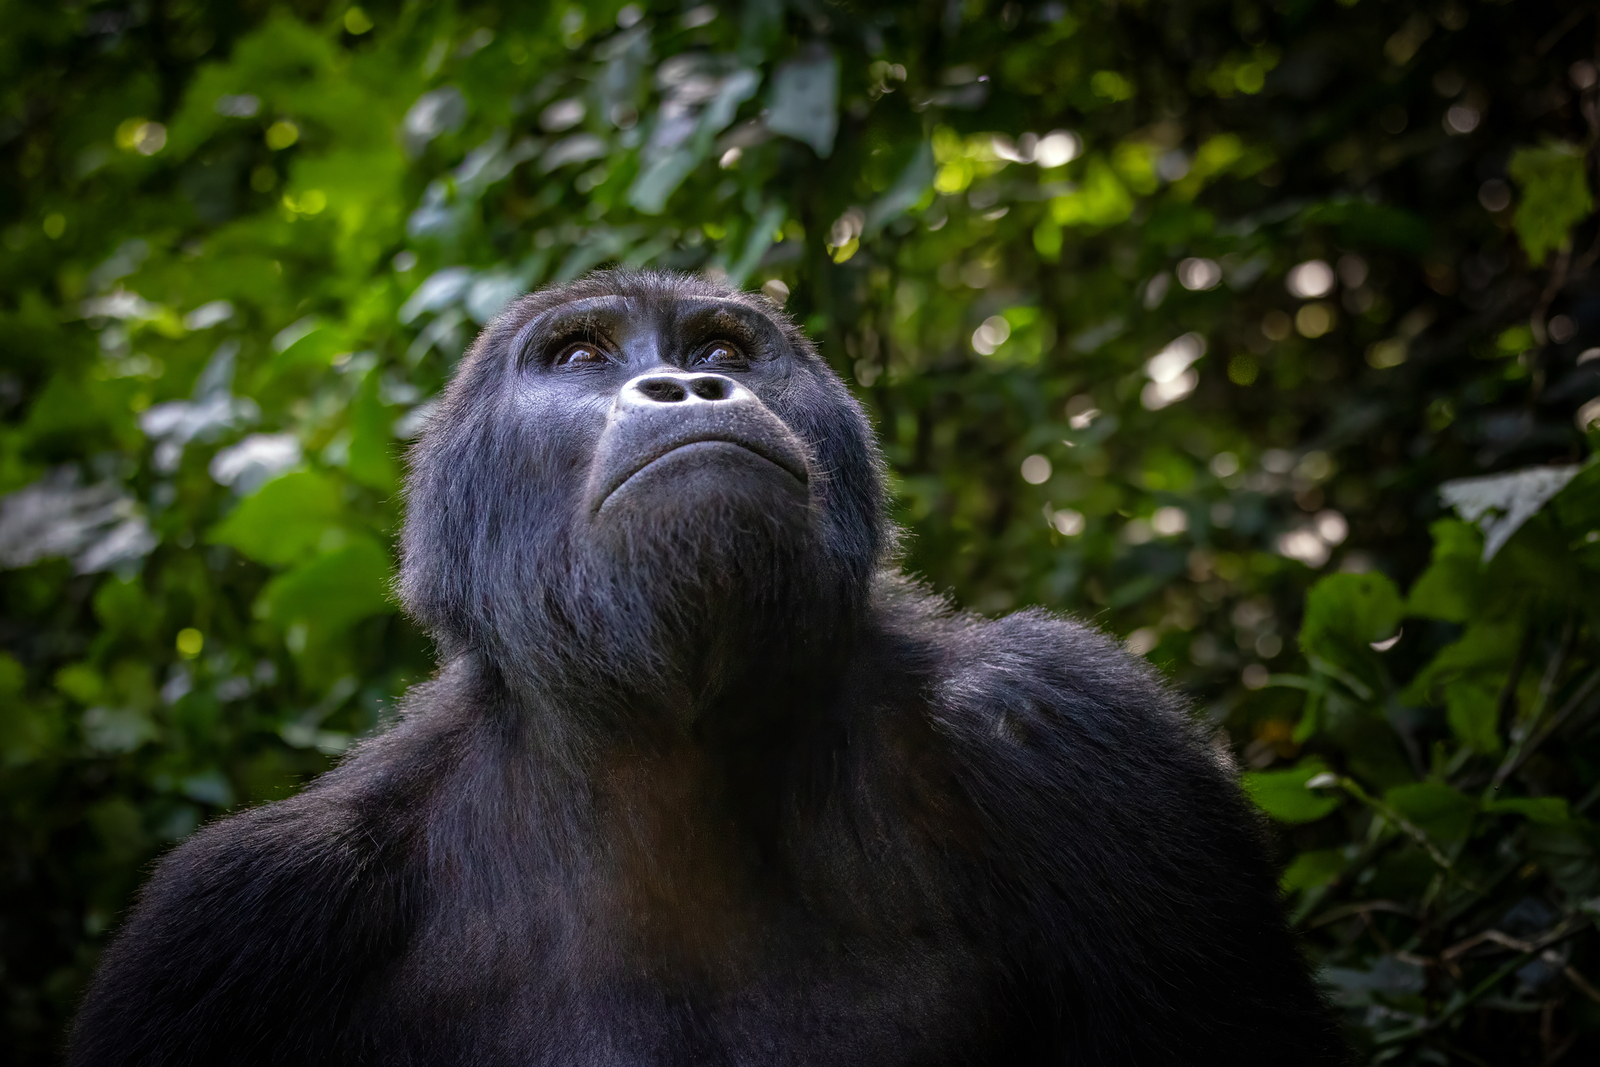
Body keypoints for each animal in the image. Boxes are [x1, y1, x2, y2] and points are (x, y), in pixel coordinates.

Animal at [68, 273, 1344, 1067]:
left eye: (721, 349)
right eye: (581, 354)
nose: (685, 387)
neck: (660, 753)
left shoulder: (1068, 726)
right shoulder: (238, 921)